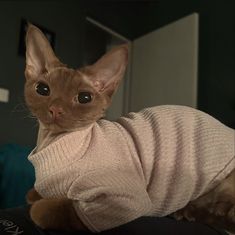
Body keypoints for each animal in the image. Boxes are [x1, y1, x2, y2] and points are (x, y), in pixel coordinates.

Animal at [24, 23, 235, 233]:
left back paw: (186, 212)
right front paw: (36, 194)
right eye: (42, 89)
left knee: (222, 218)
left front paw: (42, 205)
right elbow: (36, 192)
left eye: (84, 98)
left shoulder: (122, 203)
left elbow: (56, 209)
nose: (55, 109)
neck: (51, 142)